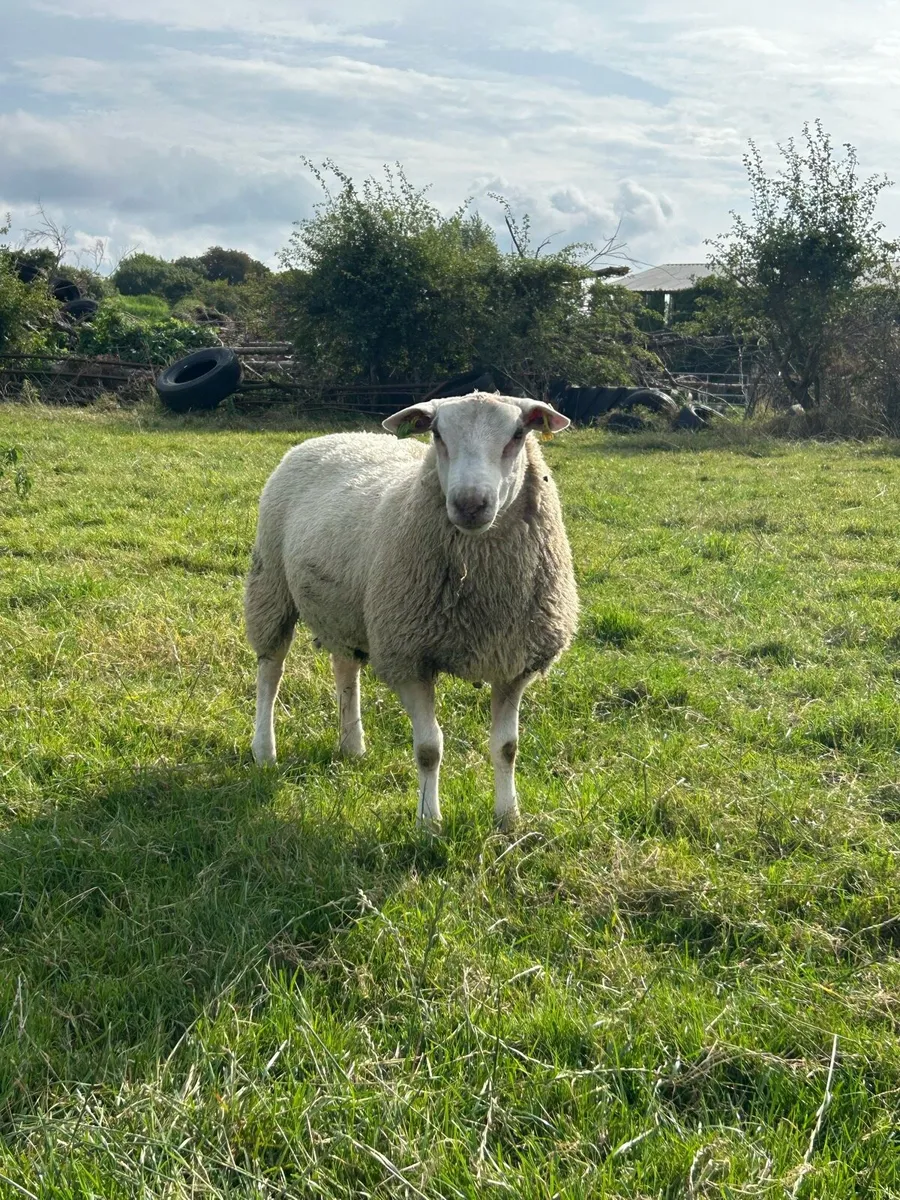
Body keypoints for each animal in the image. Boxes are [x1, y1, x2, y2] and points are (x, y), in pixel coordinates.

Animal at [244, 391, 578, 830]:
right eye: (437, 434)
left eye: (518, 434)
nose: (470, 504)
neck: (481, 591)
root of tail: (334, 435)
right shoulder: (408, 657)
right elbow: (429, 749)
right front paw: (428, 822)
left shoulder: (513, 661)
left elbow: (507, 746)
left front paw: (508, 818)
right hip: (271, 584)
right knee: (271, 671)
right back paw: (264, 751)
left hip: (347, 607)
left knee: (344, 668)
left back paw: (352, 745)